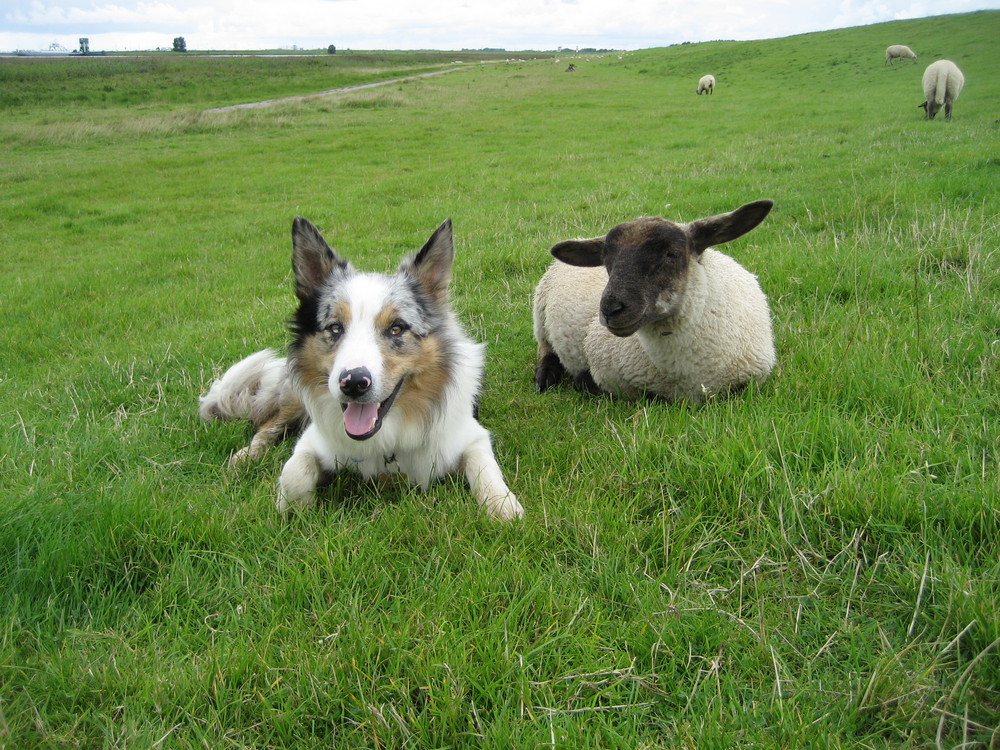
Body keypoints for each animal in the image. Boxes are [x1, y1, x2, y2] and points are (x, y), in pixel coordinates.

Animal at [536, 198, 776, 400]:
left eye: (671, 254)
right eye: (606, 261)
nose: (610, 310)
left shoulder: (754, 378)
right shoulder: (607, 374)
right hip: (540, 318)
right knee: (546, 349)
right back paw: (544, 377)